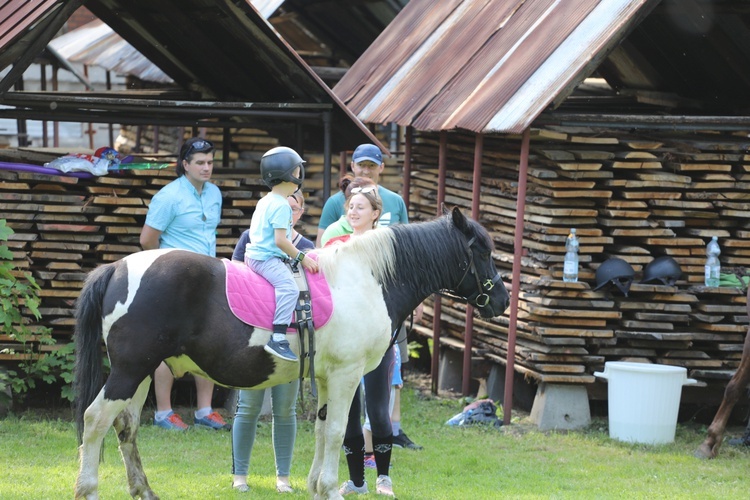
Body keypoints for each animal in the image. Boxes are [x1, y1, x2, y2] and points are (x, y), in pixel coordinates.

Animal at [73, 208, 512, 500]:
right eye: (482, 251)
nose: (503, 300)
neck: (365, 279)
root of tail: (116, 269)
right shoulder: (346, 376)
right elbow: (336, 432)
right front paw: (331, 489)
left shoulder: (327, 378)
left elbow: (321, 430)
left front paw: (317, 487)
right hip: (130, 371)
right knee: (95, 420)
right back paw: (87, 488)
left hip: (142, 373)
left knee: (126, 427)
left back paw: (143, 489)